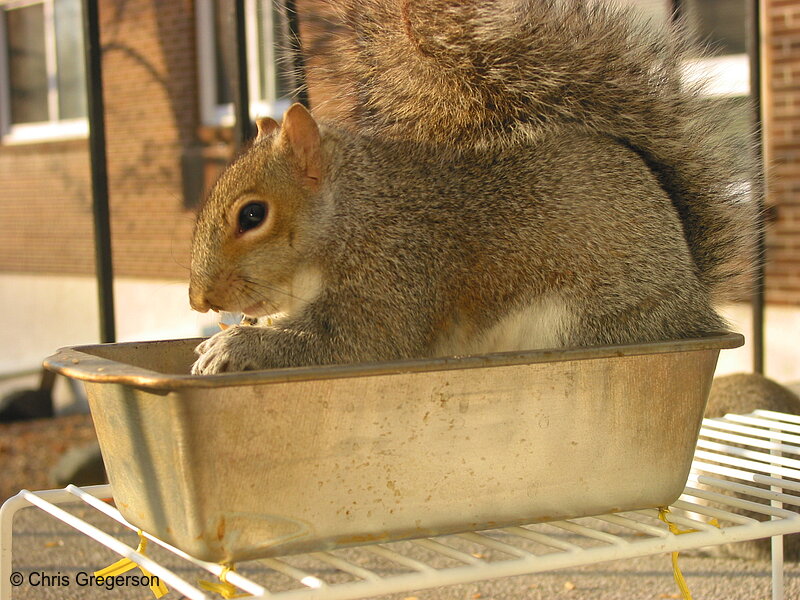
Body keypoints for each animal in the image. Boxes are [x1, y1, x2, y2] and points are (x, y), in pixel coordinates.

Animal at [189, 0, 756, 376]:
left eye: (253, 215)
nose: (199, 300)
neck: (356, 210)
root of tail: (692, 296)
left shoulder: (397, 271)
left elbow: (360, 341)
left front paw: (236, 346)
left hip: (591, 321)